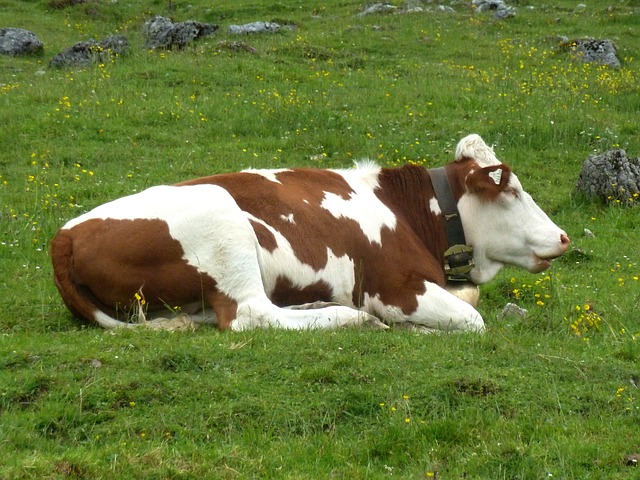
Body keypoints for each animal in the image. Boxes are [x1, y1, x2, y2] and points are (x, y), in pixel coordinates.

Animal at [50, 133, 568, 332]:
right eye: (513, 191)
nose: (563, 237)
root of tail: (64, 236)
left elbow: (471, 301)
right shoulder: (394, 288)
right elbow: (472, 319)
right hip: (223, 222)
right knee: (250, 315)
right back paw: (347, 317)